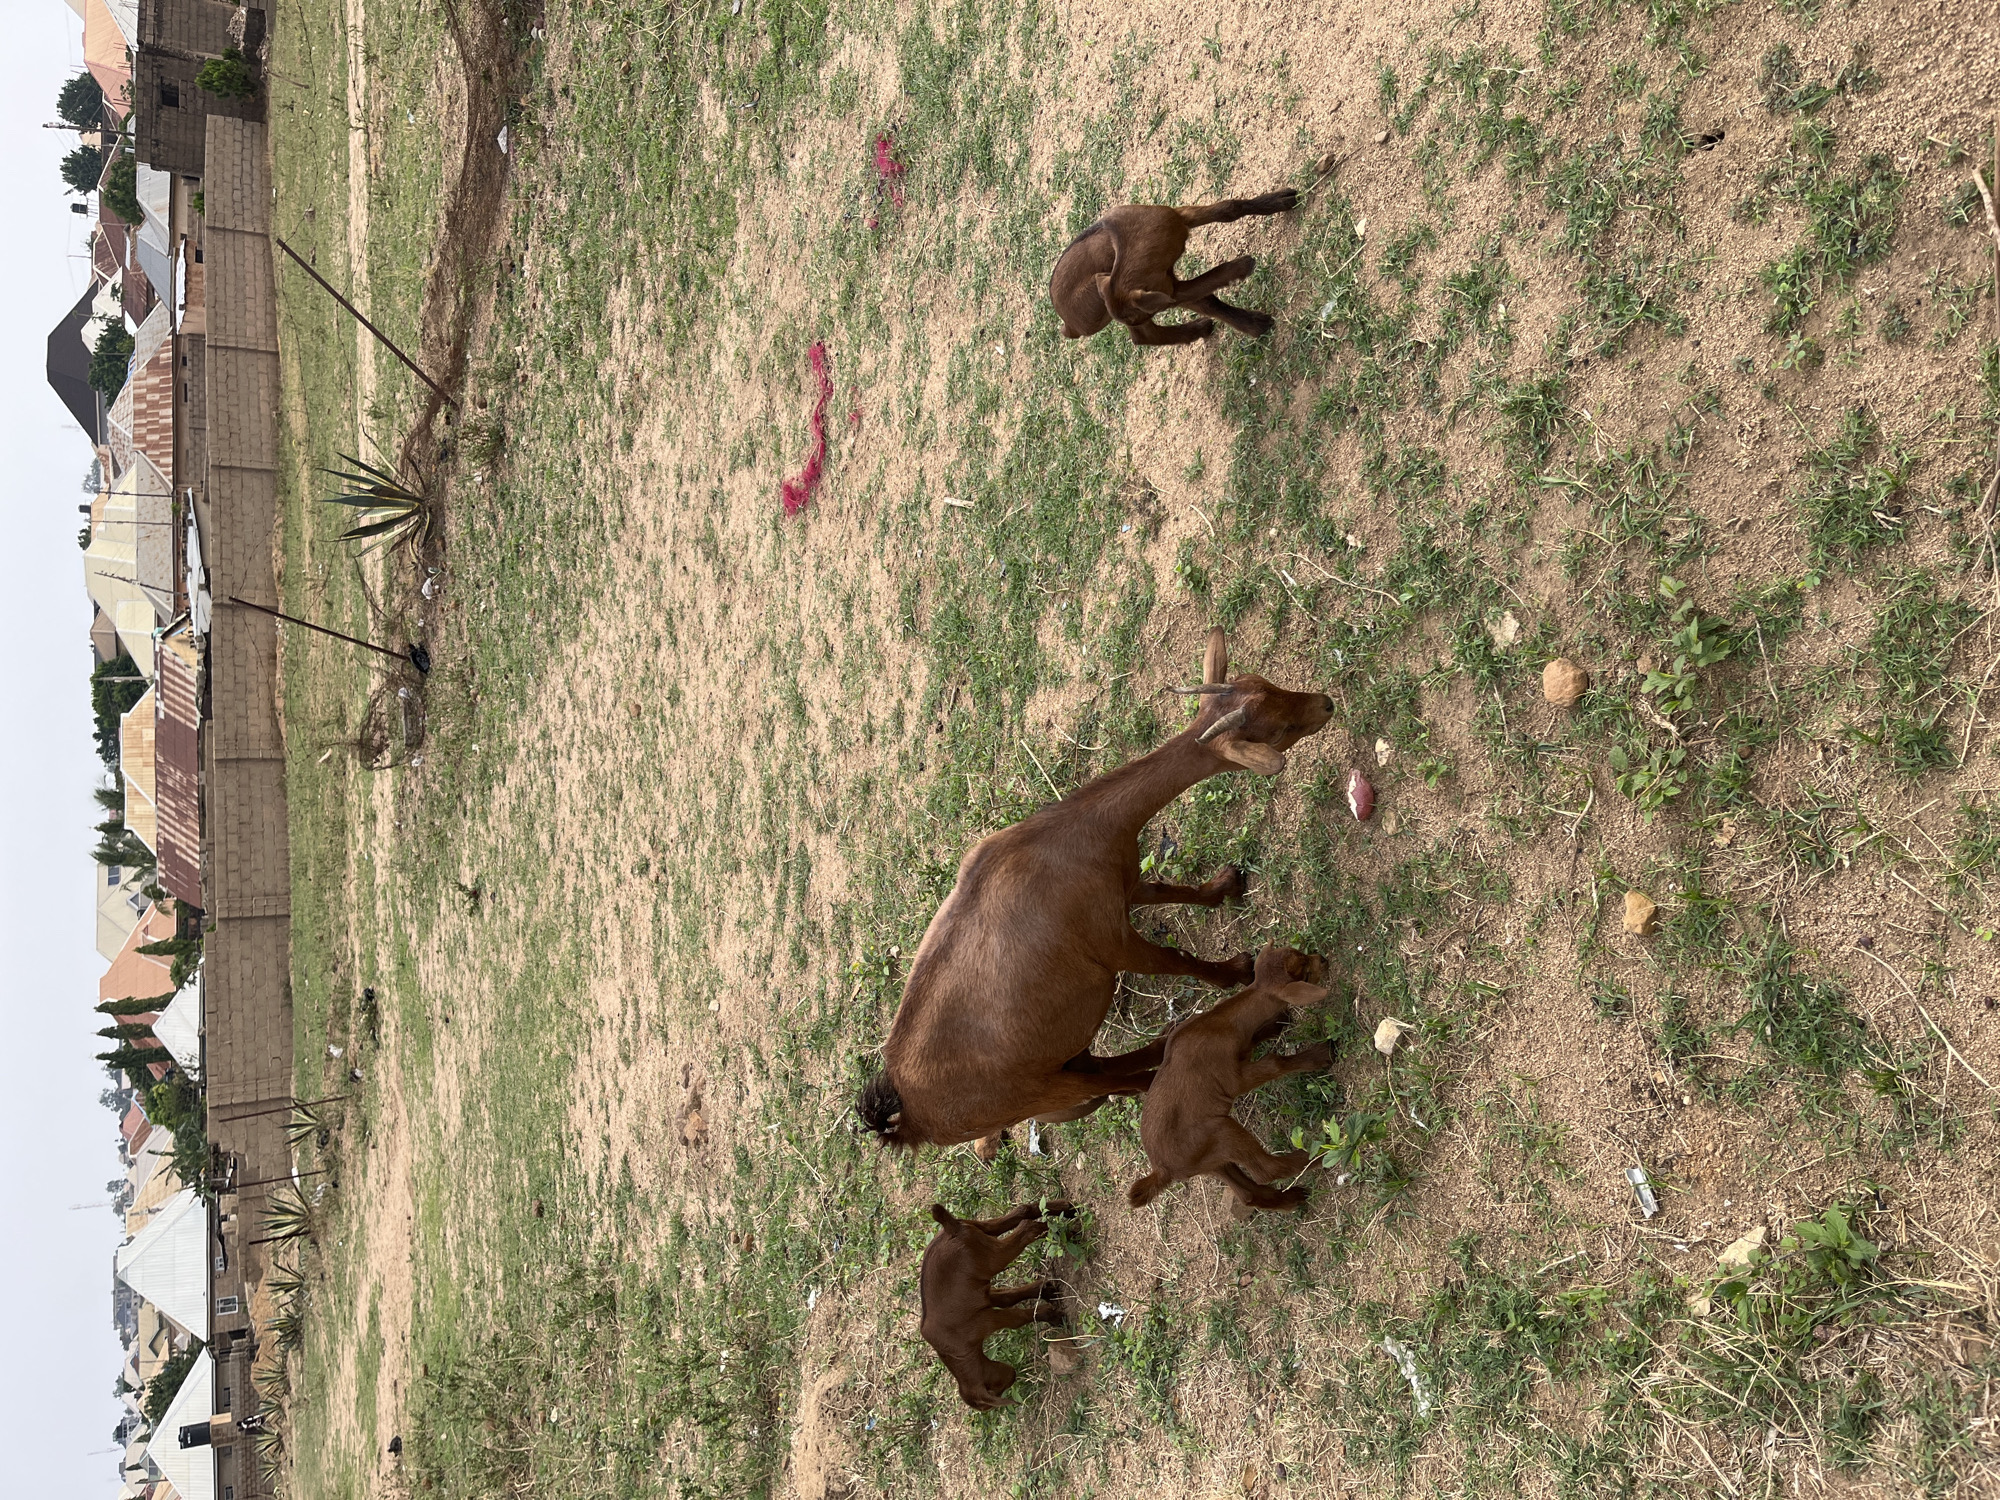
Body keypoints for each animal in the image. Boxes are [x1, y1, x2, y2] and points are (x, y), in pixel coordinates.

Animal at [856, 628, 1335, 1154]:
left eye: (1267, 683)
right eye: (1280, 728)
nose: (1327, 703)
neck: (1071, 834)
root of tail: (909, 1118)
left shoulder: (1120, 883)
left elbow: (1166, 889)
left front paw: (1225, 886)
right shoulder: (1112, 943)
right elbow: (1176, 960)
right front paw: (1235, 970)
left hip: (1062, 1056)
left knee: (1106, 1066)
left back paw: (1185, 1037)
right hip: (1044, 1090)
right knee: (1121, 1084)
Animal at [920, 1200, 1073, 1410]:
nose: (1012, 1379)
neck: (955, 1355)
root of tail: (952, 1229)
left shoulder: (986, 1319)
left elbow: (1018, 1318)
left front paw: (1051, 1316)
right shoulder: (983, 1297)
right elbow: (1009, 1297)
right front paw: (1046, 1291)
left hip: (994, 1256)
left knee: (1027, 1228)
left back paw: (1064, 1231)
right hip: (983, 1232)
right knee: (1023, 1212)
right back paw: (1067, 1211)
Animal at [1049, 190, 1300, 345]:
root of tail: (1067, 324)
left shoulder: (1179, 216)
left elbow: (1228, 209)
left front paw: (1277, 201)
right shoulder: (1170, 289)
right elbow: (1207, 281)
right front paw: (1239, 268)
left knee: (1147, 334)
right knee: (1146, 337)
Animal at [1127, 944, 1333, 1217]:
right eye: (1306, 971)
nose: (1323, 959)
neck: (1222, 1023)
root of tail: (1162, 1170)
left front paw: (1275, 1026)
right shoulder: (1232, 1078)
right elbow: (1273, 1063)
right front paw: (1319, 1056)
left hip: (1209, 1159)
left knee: (1246, 1192)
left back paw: (1290, 1199)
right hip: (1222, 1132)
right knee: (1265, 1170)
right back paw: (1318, 1154)